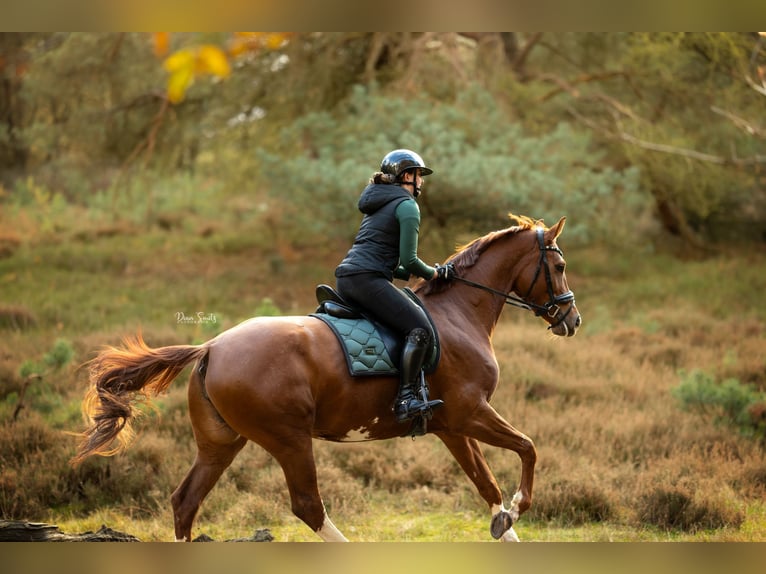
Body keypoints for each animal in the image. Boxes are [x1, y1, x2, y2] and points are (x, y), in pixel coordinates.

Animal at [71, 213, 581, 542]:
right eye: (558, 266)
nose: (572, 320)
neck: (458, 314)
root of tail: (211, 347)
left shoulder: (452, 426)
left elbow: (487, 485)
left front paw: (504, 525)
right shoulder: (471, 412)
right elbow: (528, 449)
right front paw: (517, 510)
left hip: (222, 443)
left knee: (185, 501)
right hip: (290, 439)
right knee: (307, 506)